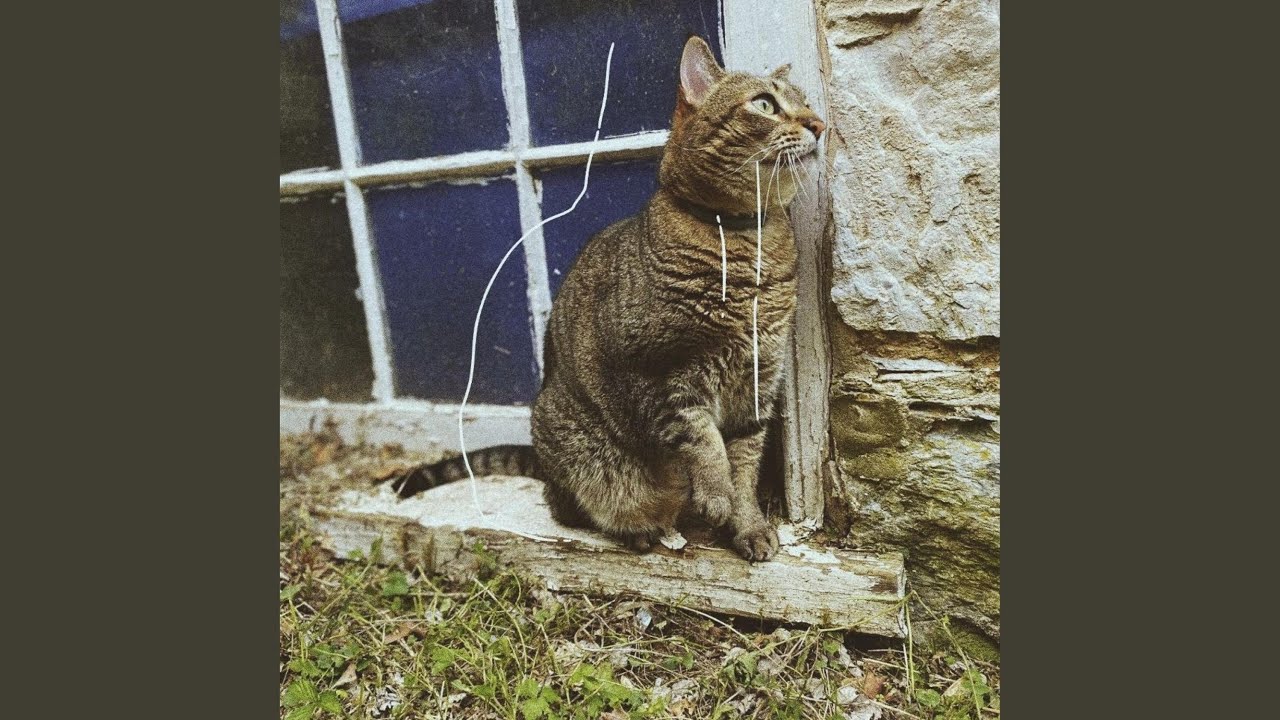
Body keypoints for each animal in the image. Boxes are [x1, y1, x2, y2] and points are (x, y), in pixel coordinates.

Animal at [391, 36, 825, 562]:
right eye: (764, 104)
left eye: (806, 103)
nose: (819, 125)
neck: (745, 245)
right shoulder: (660, 374)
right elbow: (704, 441)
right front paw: (716, 495)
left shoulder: (759, 380)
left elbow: (743, 462)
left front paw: (748, 525)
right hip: (581, 450)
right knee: (570, 506)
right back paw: (639, 529)